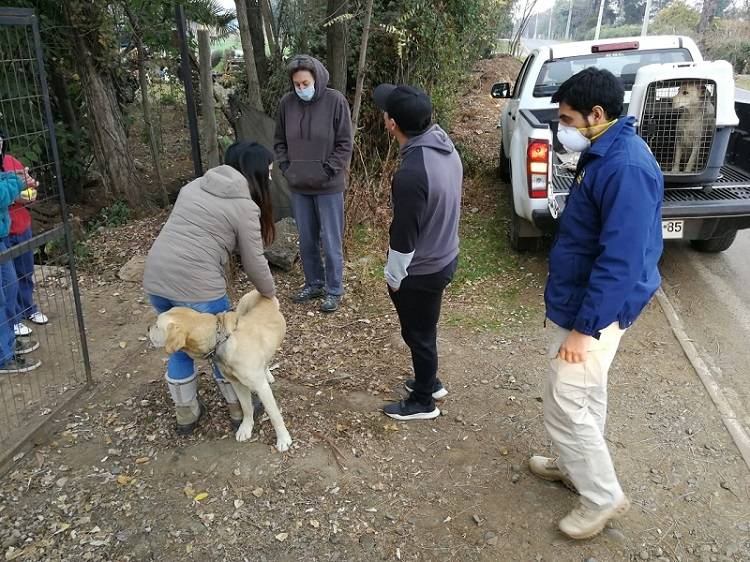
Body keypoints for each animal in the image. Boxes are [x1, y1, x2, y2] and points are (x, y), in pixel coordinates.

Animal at [148, 288, 292, 450]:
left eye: (157, 326)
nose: (147, 328)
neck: (220, 339)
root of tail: (258, 292)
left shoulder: (262, 388)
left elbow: (274, 415)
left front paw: (283, 439)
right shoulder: (236, 384)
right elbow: (246, 408)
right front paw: (245, 428)